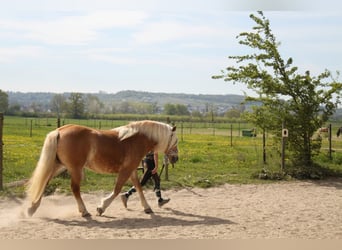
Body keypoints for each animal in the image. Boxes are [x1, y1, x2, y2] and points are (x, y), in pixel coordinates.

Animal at [25, 120, 179, 217]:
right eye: (175, 140)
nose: (175, 158)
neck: (135, 140)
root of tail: (59, 130)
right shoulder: (126, 170)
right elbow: (117, 190)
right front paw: (101, 207)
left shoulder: (132, 170)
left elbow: (139, 188)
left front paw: (147, 208)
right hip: (74, 169)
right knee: (74, 189)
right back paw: (84, 211)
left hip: (59, 166)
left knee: (44, 182)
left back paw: (31, 208)